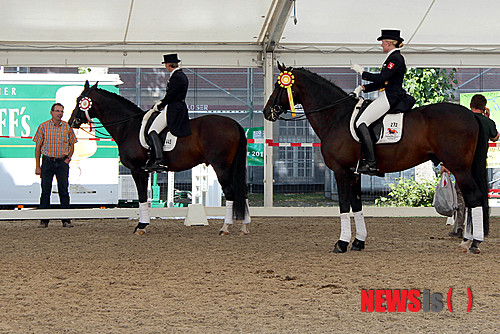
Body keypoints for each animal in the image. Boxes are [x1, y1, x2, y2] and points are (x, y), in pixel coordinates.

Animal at [68, 81, 250, 235]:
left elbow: (142, 196)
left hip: (221, 167)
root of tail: (234, 124)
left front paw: (141, 226)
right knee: (243, 190)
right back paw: (244, 226)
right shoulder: (144, 171)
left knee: (230, 191)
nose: (71, 122)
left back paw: (225, 227)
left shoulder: (137, 170)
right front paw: (143, 224)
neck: (129, 126)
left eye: (80, 100)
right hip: (230, 166)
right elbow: (143, 197)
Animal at [264, 64, 490, 254]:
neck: (337, 116)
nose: (267, 112)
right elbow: (357, 206)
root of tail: (471, 115)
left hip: (459, 168)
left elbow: (344, 206)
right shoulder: (355, 173)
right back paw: (470, 240)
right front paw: (358, 241)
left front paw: (342, 243)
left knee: (473, 198)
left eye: (278, 85)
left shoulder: (341, 171)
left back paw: (473, 243)